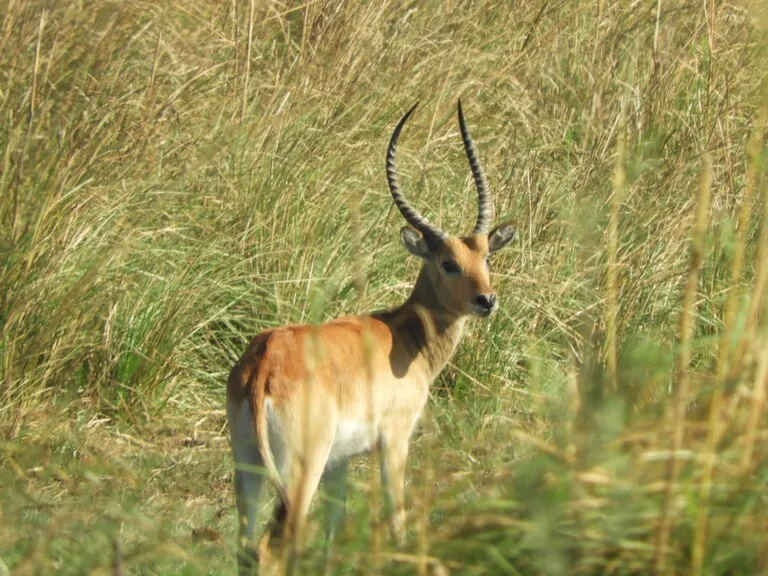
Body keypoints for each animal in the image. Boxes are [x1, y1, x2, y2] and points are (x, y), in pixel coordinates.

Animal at [228, 100, 516, 572]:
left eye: (486, 256)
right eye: (447, 262)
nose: (486, 300)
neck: (403, 338)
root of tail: (263, 363)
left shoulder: (339, 462)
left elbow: (335, 528)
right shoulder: (394, 441)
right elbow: (396, 514)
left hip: (248, 468)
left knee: (246, 546)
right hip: (298, 472)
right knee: (273, 547)